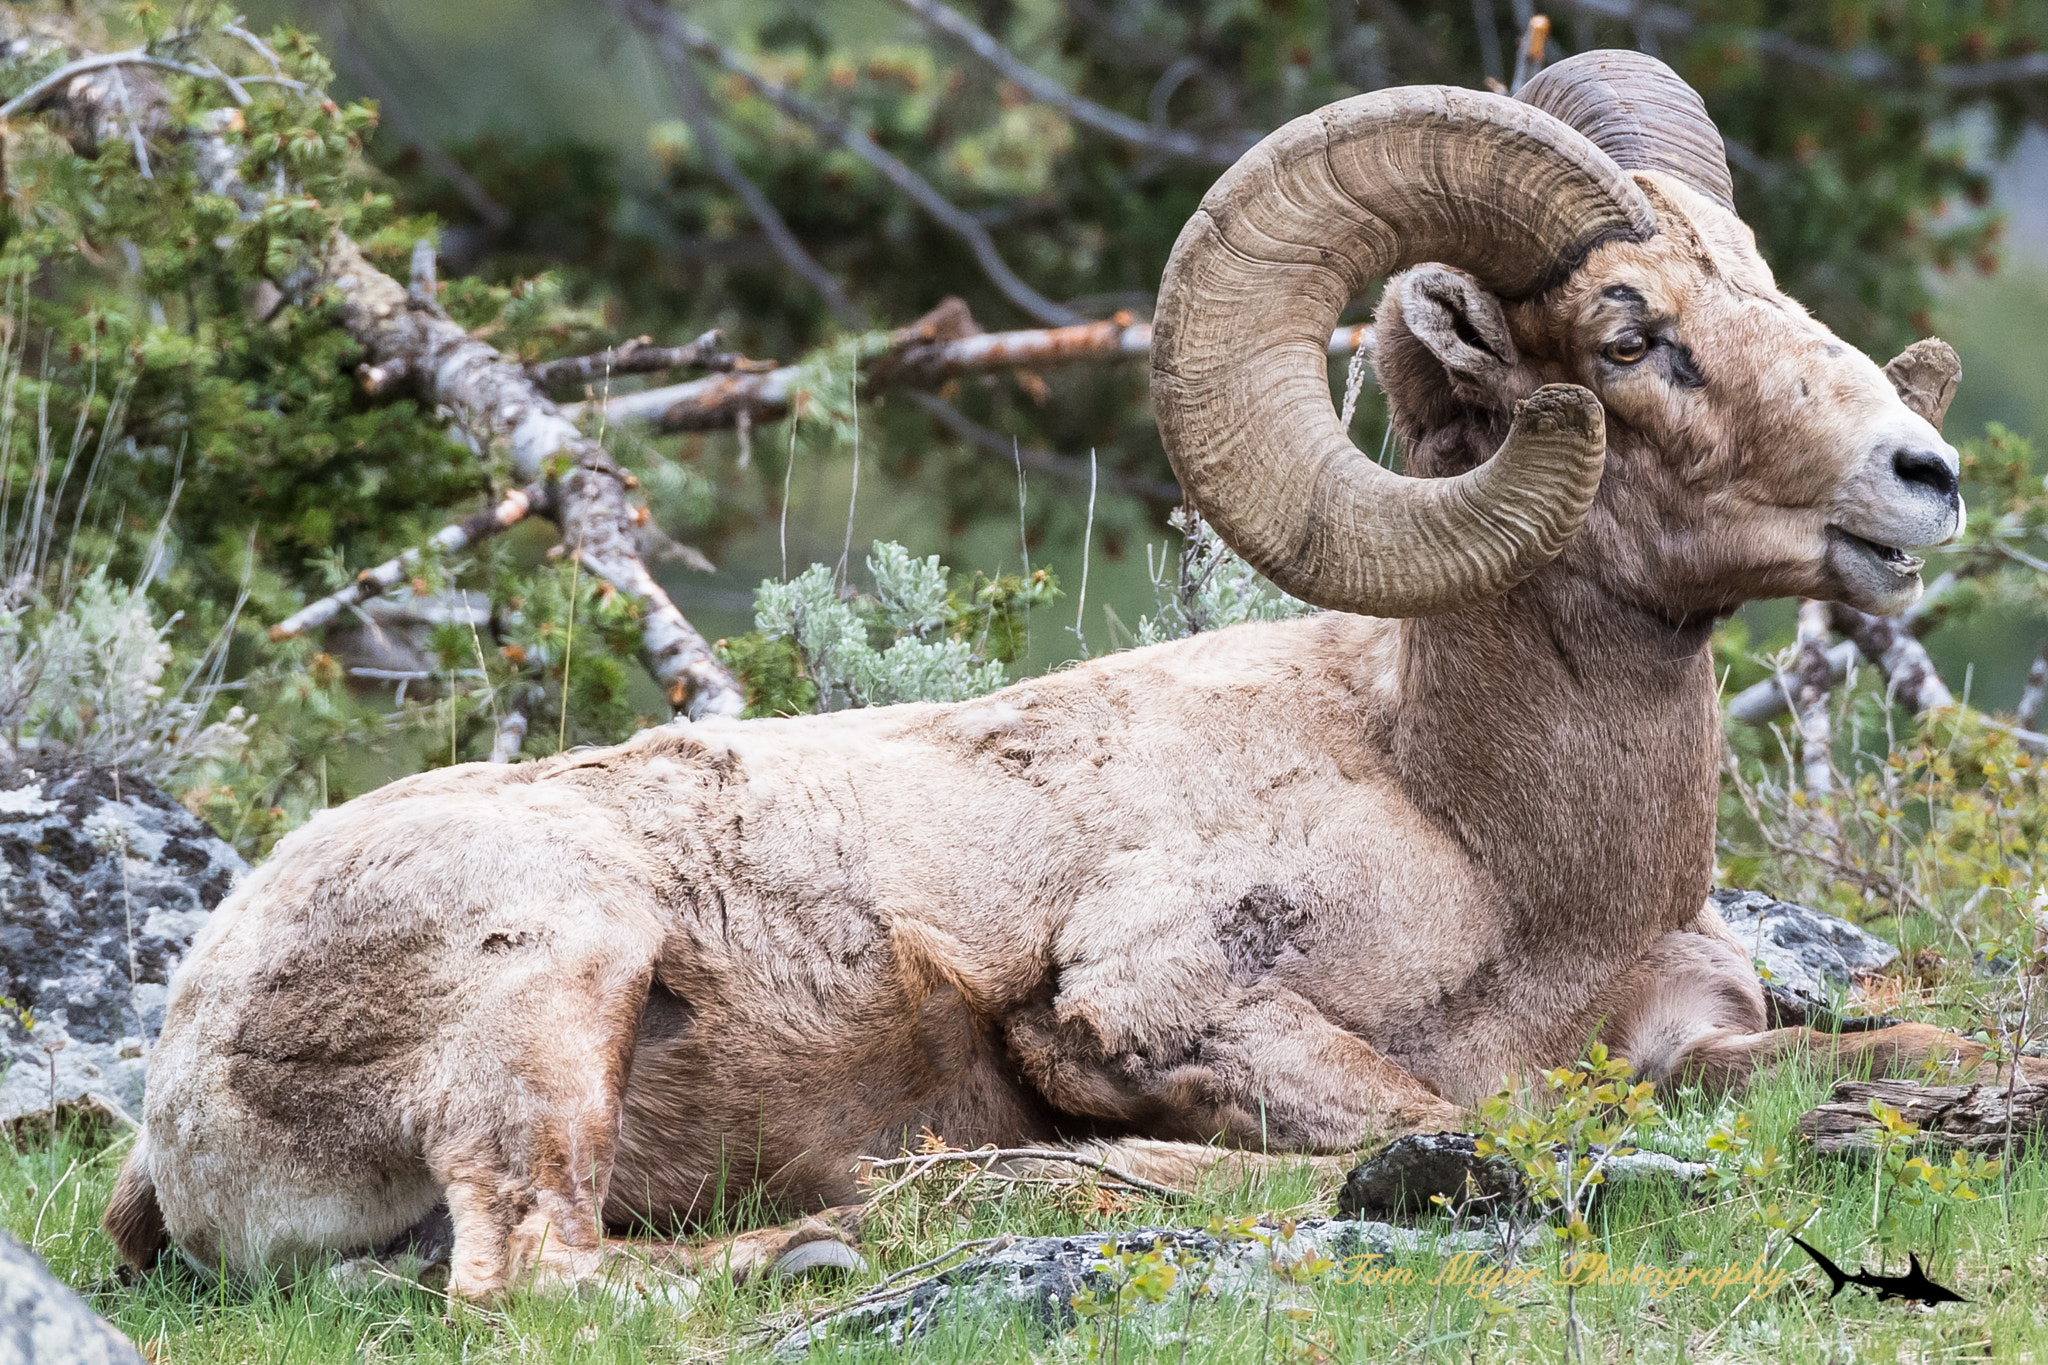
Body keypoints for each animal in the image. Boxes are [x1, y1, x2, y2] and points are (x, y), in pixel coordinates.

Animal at [105, 52, 2026, 1299]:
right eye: (1635, 333)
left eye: (1760, 281)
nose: (1922, 477)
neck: (1501, 850)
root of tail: (175, 1091)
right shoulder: (1153, 1005)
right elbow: (1452, 1123)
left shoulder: (1694, 1037)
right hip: (554, 973)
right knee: (539, 1276)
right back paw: (856, 1228)